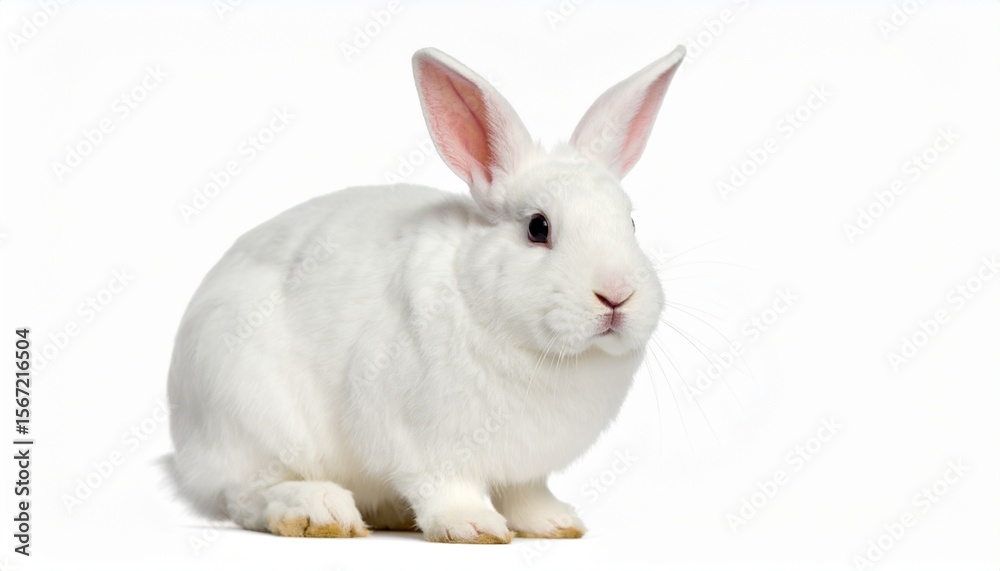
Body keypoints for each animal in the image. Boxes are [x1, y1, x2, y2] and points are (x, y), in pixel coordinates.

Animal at [168, 44, 685, 544]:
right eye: (538, 228)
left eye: (630, 223)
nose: (616, 295)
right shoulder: (421, 442)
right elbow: (445, 486)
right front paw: (472, 527)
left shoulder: (527, 469)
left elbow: (527, 495)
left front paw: (556, 524)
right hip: (252, 418)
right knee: (249, 495)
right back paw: (321, 512)